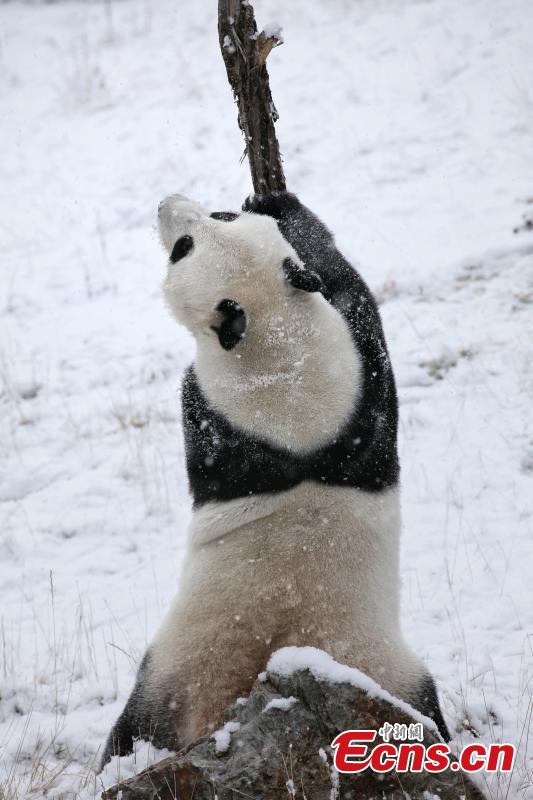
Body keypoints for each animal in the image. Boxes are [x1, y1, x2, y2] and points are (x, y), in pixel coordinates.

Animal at [101, 191, 448, 764]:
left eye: (184, 245)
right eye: (193, 233)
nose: (167, 203)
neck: (276, 336)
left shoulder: (216, 402)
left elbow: (346, 285)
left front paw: (278, 202)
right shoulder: (362, 390)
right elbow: (352, 297)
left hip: (177, 669)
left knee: (125, 732)